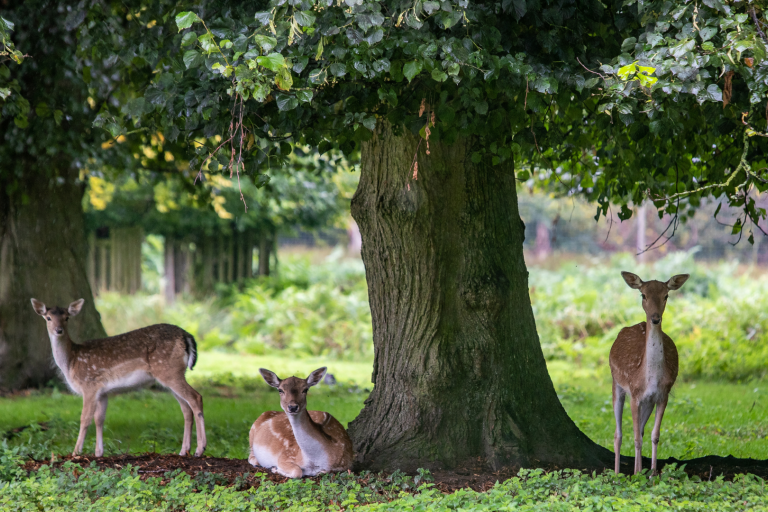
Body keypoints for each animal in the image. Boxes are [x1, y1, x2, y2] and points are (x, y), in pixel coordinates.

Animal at [30, 298, 207, 458]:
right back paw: (184, 451)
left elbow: (85, 418)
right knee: (186, 408)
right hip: (171, 375)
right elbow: (99, 419)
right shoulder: (102, 392)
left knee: (196, 397)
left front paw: (76, 452)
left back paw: (200, 449)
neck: (71, 361)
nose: (59, 330)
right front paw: (98, 453)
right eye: (48, 318)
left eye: (67, 317)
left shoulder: (89, 385)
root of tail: (186, 336)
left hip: (169, 371)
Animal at [609, 271, 689, 475]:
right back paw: (617, 473)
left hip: (648, 402)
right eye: (643, 295)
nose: (655, 318)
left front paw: (652, 474)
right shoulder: (634, 394)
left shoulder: (662, 396)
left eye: (666, 295)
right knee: (618, 434)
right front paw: (636, 474)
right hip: (616, 383)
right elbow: (635, 437)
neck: (649, 378)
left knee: (642, 430)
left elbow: (654, 435)